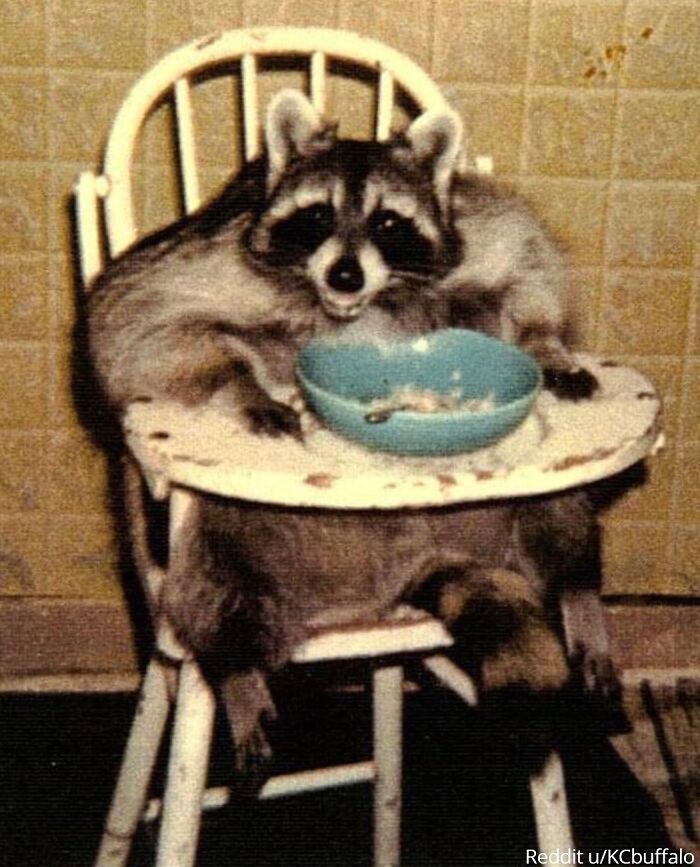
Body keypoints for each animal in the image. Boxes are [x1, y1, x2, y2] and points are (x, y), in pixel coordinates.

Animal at [88, 90, 615, 771]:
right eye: (317, 215)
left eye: (388, 223)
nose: (345, 275)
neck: (357, 307)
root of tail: (387, 588)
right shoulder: (205, 255)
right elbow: (135, 317)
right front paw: (245, 383)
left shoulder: (478, 227)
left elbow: (528, 262)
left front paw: (546, 343)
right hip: (230, 535)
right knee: (214, 583)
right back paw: (236, 673)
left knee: (561, 507)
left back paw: (580, 594)